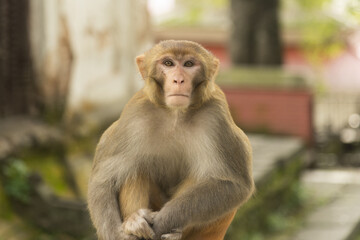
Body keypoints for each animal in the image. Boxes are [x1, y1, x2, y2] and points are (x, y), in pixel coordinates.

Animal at [87, 39, 255, 240]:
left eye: (189, 64)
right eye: (168, 63)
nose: (178, 80)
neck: (176, 114)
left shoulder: (216, 115)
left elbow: (233, 184)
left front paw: (163, 222)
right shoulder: (134, 114)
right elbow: (103, 181)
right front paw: (119, 235)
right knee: (134, 169)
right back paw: (135, 222)